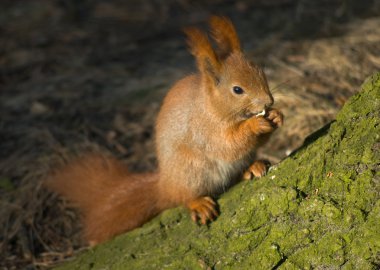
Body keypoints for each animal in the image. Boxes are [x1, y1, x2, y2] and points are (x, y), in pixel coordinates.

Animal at [45, 16, 282, 245]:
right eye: (237, 90)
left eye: (261, 71)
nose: (268, 101)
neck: (214, 107)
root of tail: (164, 185)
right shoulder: (203, 129)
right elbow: (227, 144)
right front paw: (255, 124)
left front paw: (276, 115)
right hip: (190, 170)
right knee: (183, 196)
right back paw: (198, 203)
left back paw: (252, 167)